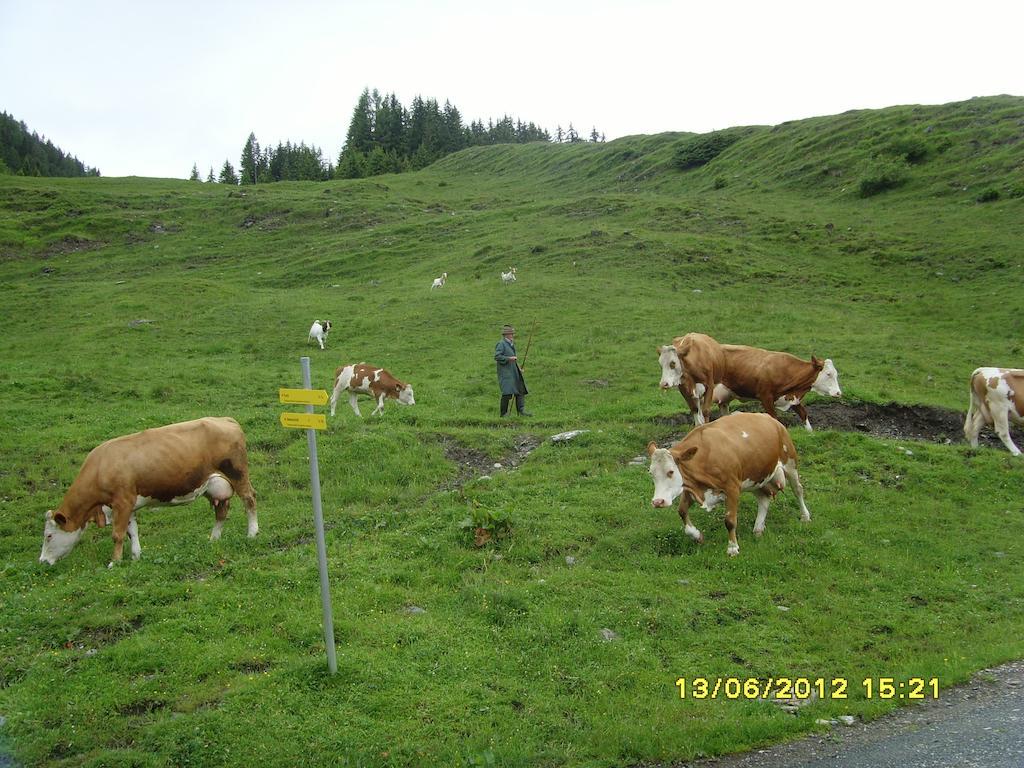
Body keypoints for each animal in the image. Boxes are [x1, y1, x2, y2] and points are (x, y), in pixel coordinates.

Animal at [42, 417, 260, 569]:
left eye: (49, 536)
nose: (42, 561)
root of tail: (226, 419)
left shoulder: (122, 501)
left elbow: (117, 534)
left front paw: (114, 562)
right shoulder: (128, 506)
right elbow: (132, 531)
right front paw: (136, 556)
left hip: (238, 474)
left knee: (249, 500)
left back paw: (252, 533)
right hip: (215, 485)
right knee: (221, 512)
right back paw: (213, 539)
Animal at [647, 411, 806, 557]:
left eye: (671, 471)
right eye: (651, 473)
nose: (658, 502)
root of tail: (770, 418)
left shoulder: (732, 488)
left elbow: (730, 521)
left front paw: (732, 548)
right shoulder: (689, 488)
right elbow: (682, 511)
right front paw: (697, 535)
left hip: (790, 462)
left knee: (798, 490)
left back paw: (805, 516)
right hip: (755, 477)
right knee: (764, 499)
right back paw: (758, 528)